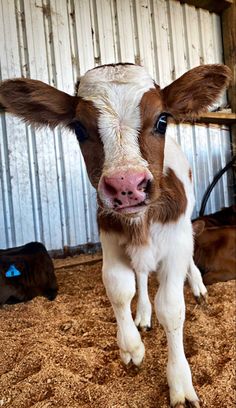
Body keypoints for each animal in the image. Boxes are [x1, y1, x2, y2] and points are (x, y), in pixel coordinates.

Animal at [0, 62, 231, 406]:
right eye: (79, 129)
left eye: (162, 120)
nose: (126, 184)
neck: (140, 223)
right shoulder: (109, 241)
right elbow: (120, 289)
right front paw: (131, 346)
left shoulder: (175, 243)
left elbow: (171, 308)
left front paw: (180, 383)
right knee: (141, 276)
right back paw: (143, 314)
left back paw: (198, 288)